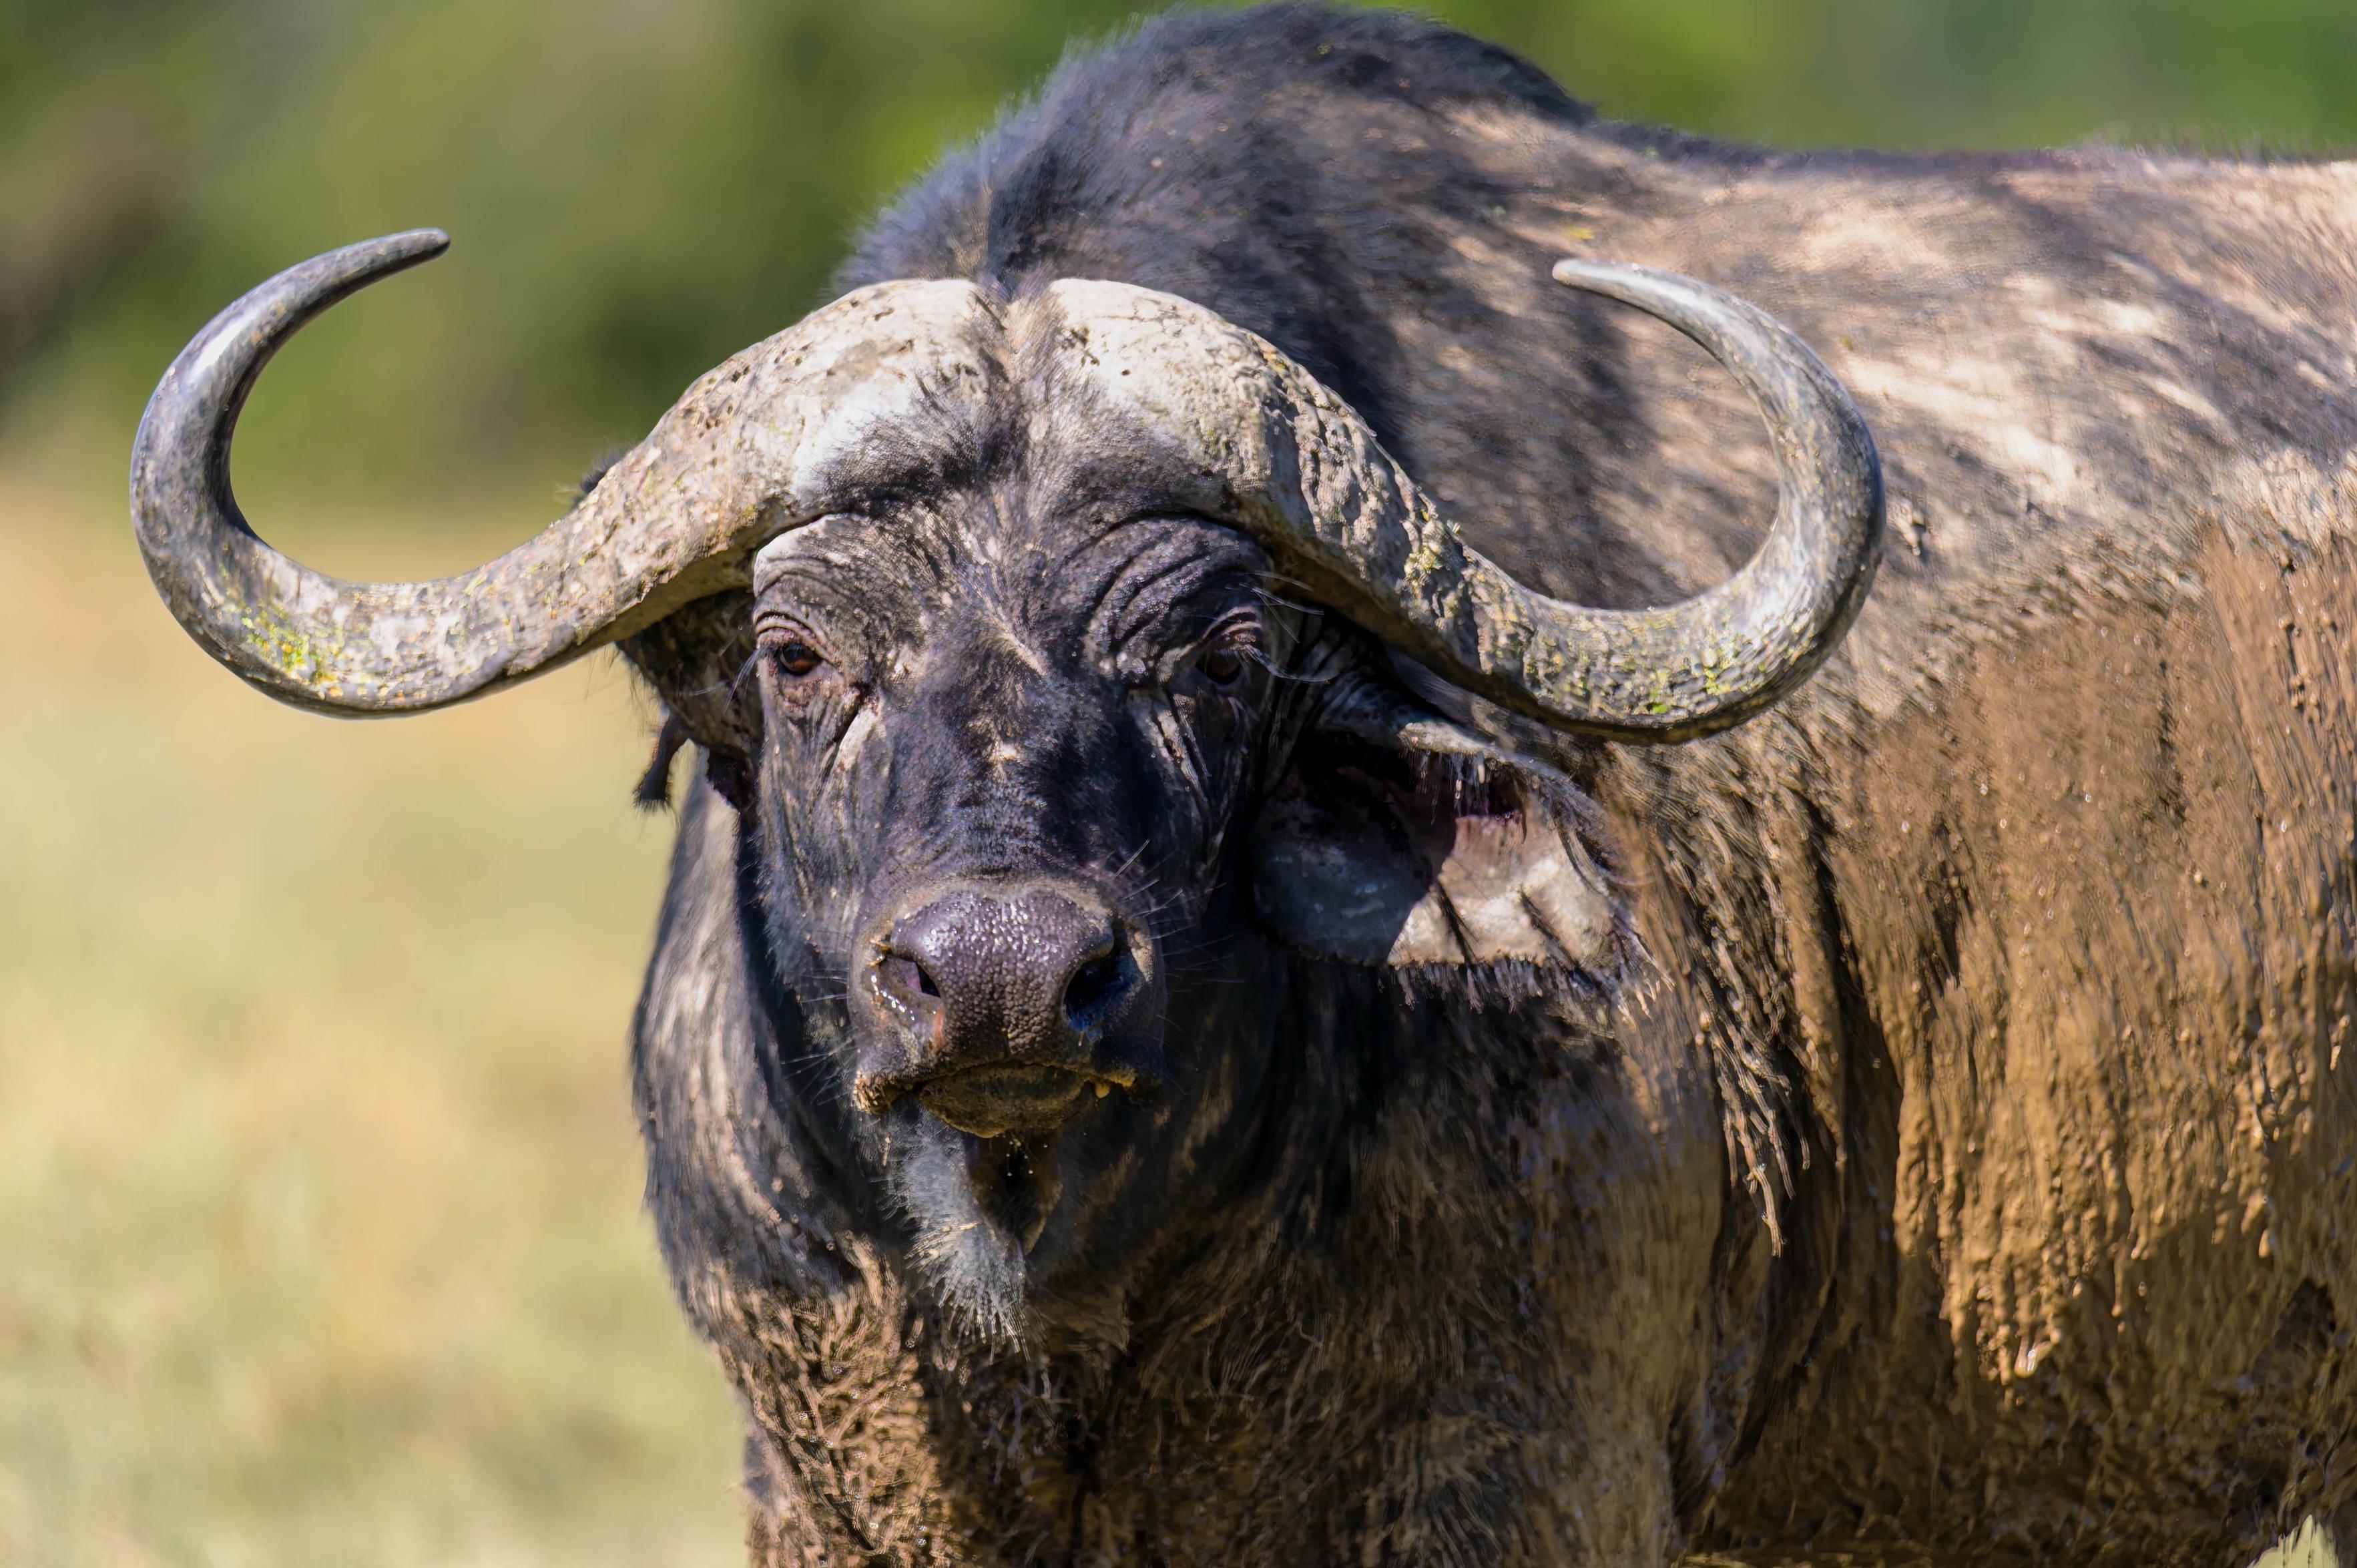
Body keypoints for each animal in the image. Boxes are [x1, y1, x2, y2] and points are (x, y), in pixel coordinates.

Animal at [132, 4, 2357, 1565]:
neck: (1068, 1293)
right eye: (797, 652)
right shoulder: (828, 1486)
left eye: (1216, 654)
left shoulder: (1519, 1474)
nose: (1004, 976)